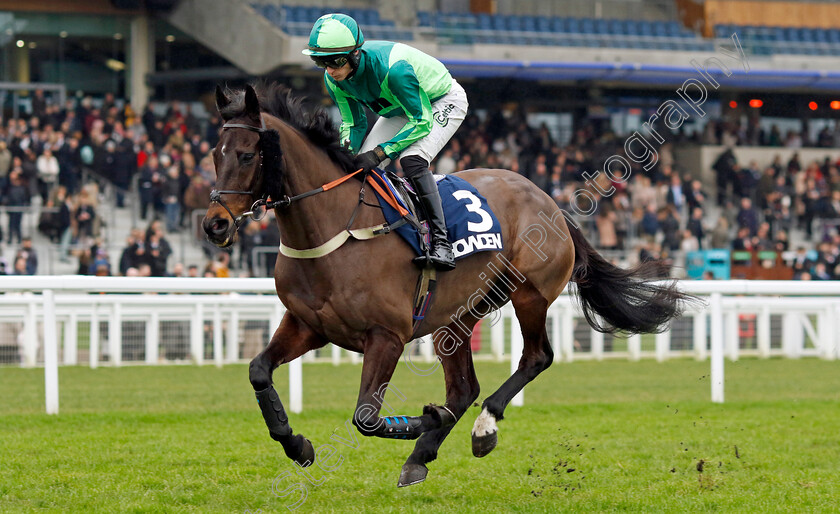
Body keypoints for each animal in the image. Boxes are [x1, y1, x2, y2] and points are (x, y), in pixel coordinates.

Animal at [203, 82, 696, 486]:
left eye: (246, 155)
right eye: (213, 154)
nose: (214, 224)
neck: (335, 230)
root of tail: (550, 202)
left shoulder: (388, 335)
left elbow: (366, 417)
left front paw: (427, 417)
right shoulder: (309, 324)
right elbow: (259, 370)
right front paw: (296, 443)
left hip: (529, 294)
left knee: (535, 358)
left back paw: (483, 428)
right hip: (454, 317)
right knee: (464, 388)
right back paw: (420, 457)